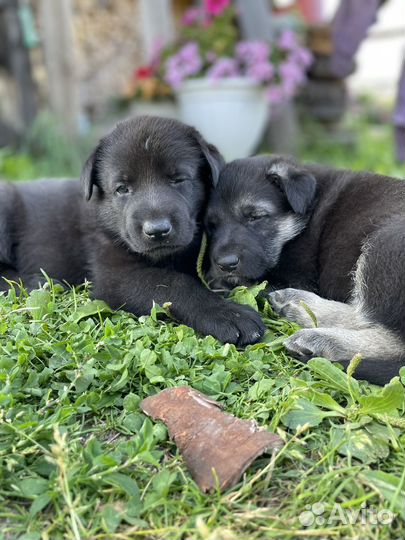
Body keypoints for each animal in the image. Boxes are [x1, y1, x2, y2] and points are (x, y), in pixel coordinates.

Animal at [0, 117, 266, 346]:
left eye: (179, 179)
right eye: (122, 188)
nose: (157, 230)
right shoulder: (115, 275)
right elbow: (173, 283)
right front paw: (229, 314)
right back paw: (37, 282)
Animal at [205, 155, 404, 384]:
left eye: (255, 216)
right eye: (211, 225)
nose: (225, 264)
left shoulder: (298, 275)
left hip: (384, 244)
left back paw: (317, 335)